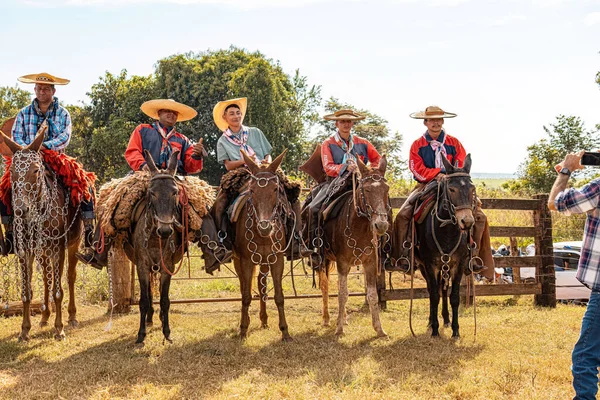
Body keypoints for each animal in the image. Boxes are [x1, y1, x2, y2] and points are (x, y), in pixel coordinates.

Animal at [0, 129, 83, 340]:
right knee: (47, 278)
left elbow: (58, 291)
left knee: (70, 277)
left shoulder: (58, 249)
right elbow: (26, 292)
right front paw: (24, 330)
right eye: (12, 172)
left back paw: (72, 316)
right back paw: (45, 317)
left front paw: (59, 329)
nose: (21, 209)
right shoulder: (25, 251)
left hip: (74, 243)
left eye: (36, 170)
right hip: (43, 252)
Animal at [130, 150, 186, 344]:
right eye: (152, 193)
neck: (155, 239)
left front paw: (167, 331)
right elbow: (144, 300)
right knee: (147, 293)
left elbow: (165, 299)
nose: (165, 230)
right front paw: (141, 334)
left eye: (175, 192)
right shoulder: (142, 266)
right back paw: (149, 317)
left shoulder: (167, 267)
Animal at [230, 149, 292, 340]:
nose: (265, 227)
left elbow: (279, 296)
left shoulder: (277, 259)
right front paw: (243, 329)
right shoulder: (246, 261)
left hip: (264, 261)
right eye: (251, 190)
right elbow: (246, 295)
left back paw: (264, 320)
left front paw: (285, 331)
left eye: (276, 189)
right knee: (245, 286)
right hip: (239, 260)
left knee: (260, 283)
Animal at [314, 156, 390, 338]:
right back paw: (327, 319)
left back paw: (343, 318)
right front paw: (339, 328)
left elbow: (372, 295)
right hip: (323, 259)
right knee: (325, 285)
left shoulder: (370, 263)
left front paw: (379, 328)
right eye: (367, 190)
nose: (381, 225)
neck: (358, 227)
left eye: (386, 189)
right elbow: (342, 294)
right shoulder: (342, 263)